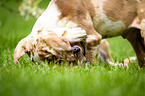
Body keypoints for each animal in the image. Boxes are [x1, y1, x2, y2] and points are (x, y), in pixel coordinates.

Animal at [13, 0, 145, 67]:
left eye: (50, 56)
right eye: (55, 61)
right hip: (134, 37)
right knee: (141, 58)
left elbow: (92, 62)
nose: (74, 52)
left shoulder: (94, 38)